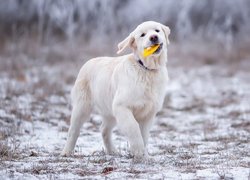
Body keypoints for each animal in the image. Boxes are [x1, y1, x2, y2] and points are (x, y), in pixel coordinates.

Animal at [61, 21, 170, 158]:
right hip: (82, 107)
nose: (154, 37)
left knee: (104, 130)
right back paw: (67, 152)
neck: (146, 69)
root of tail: (88, 61)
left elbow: (144, 134)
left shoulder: (149, 112)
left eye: (157, 30)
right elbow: (133, 127)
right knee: (73, 130)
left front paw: (144, 155)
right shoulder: (121, 106)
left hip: (109, 110)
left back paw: (112, 151)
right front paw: (138, 151)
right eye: (142, 35)